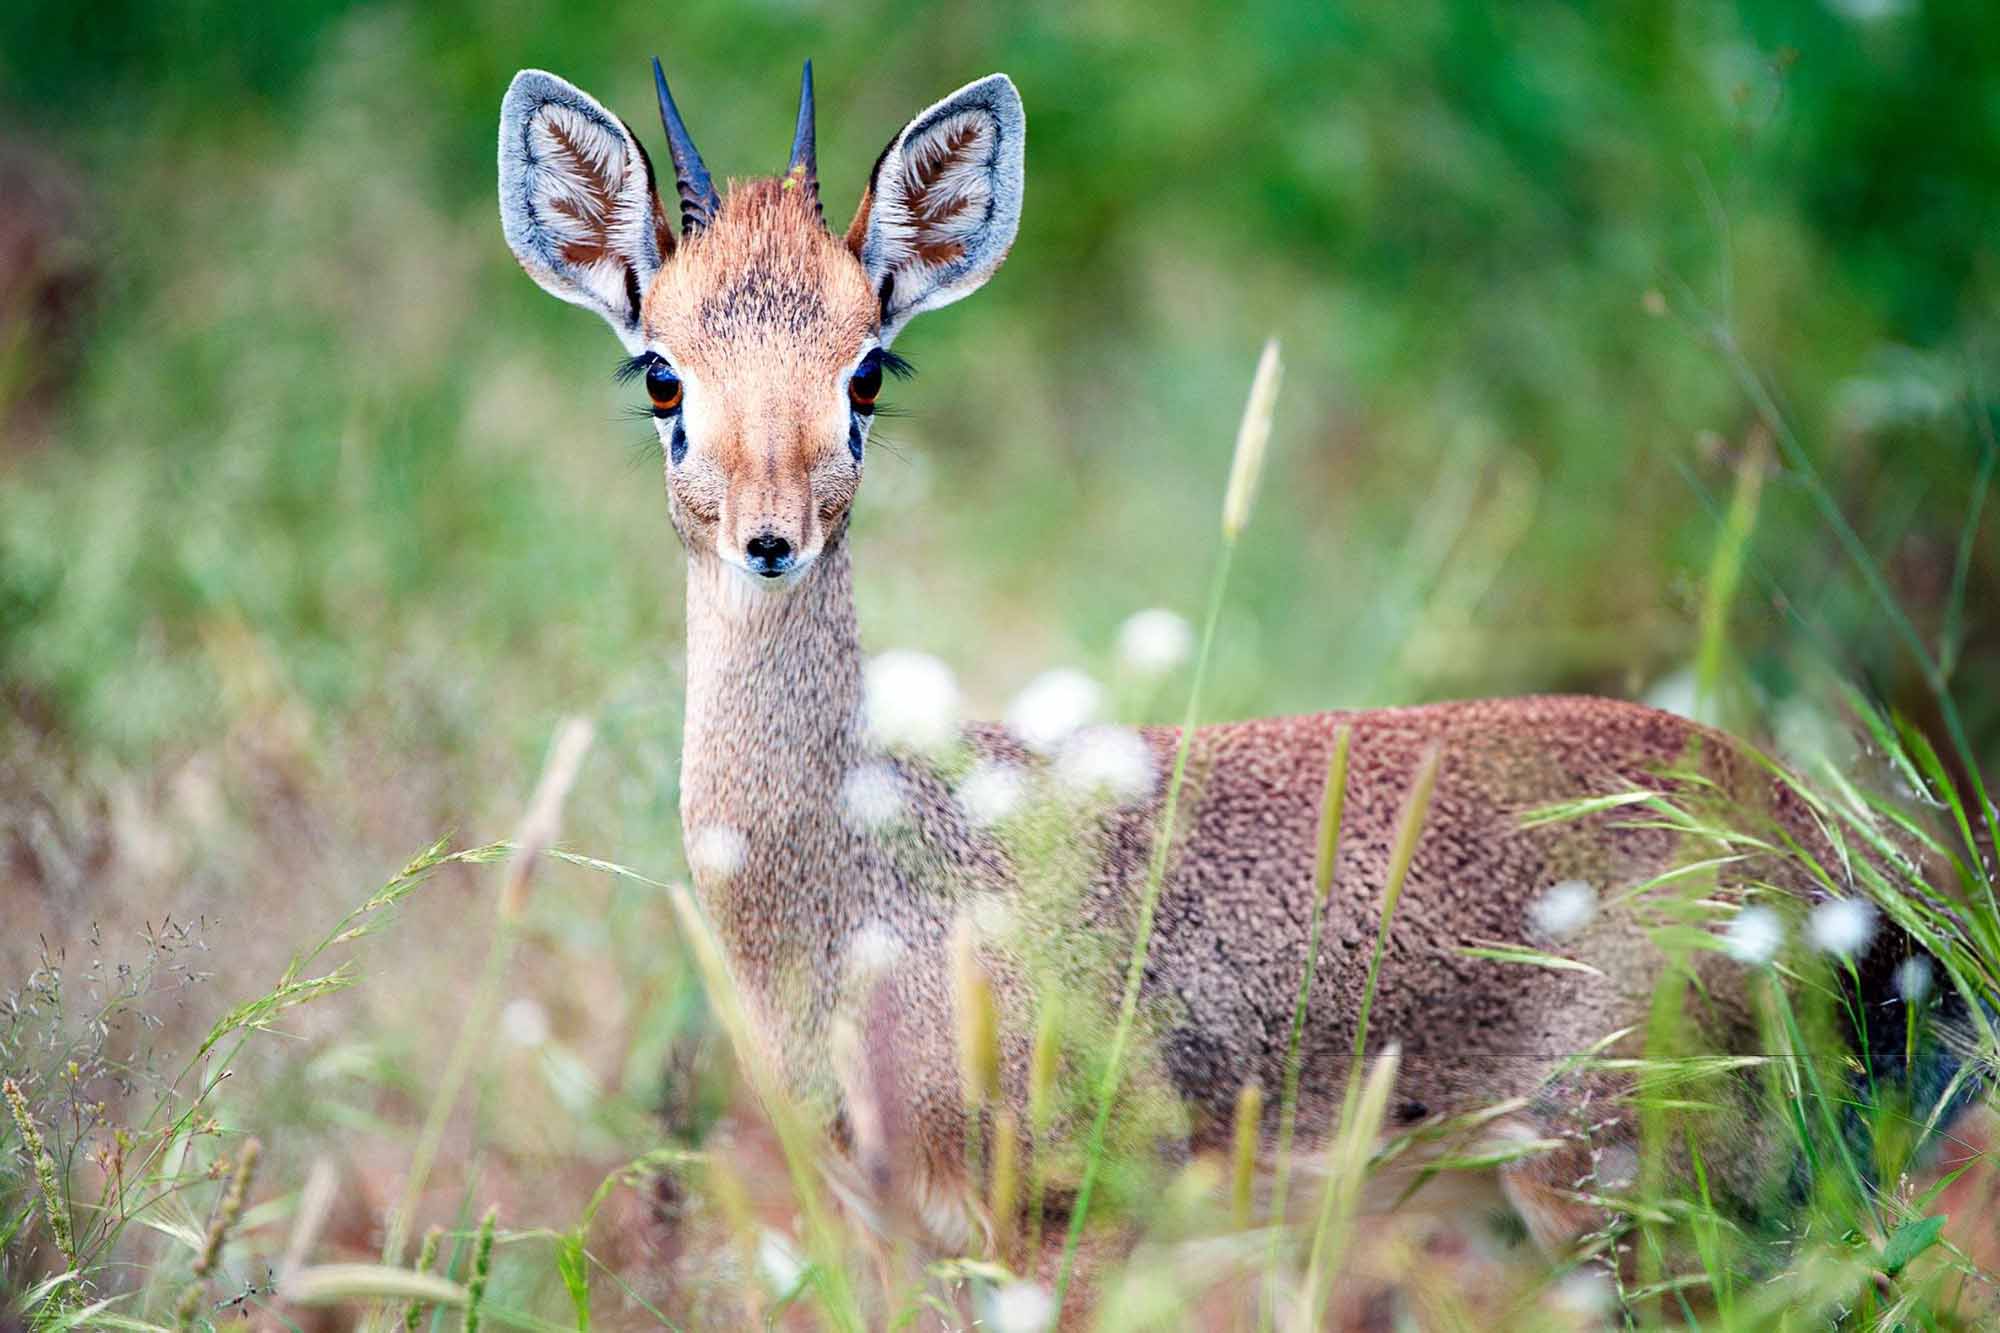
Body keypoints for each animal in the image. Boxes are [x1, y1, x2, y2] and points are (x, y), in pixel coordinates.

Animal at [496, 60, 1970, 1271]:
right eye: (661, 373)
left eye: (869, 369)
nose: (770, 538)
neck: (872, 871)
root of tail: (1835, 872)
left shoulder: (1059, 1226)